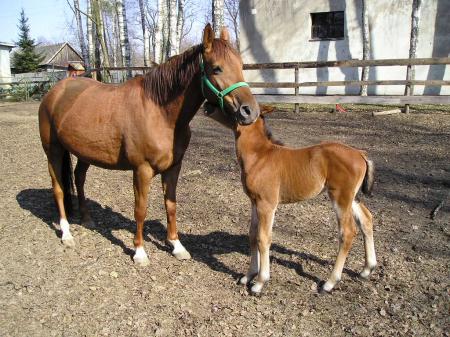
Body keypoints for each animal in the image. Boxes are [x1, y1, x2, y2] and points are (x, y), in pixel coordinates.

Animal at [38, 24, 260, 266]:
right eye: (216, 68)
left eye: (241, 66)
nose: (250, 111)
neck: (160, 112)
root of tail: (55, 91)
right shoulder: (141, 170)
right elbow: (141, 209)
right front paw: (140, 252)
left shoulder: (173, 168)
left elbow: (171, 205)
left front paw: (176, 246)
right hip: (53, 151)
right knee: (59, 188)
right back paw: (66, 233)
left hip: (85, 153)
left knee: (79, 179)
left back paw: (87, 219)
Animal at [206, 103, 378, 292]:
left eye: (233, 106)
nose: (208, 107)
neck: (260, 156)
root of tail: (360, 154)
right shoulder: (254, 201)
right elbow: (252, 234)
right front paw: (248, 276)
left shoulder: (267, 204)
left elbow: (263, 238)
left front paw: (259, 282)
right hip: (352, 198)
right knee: (366, 219)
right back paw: (367, 269)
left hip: (340, 197)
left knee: (347, 232)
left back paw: (330, 282)